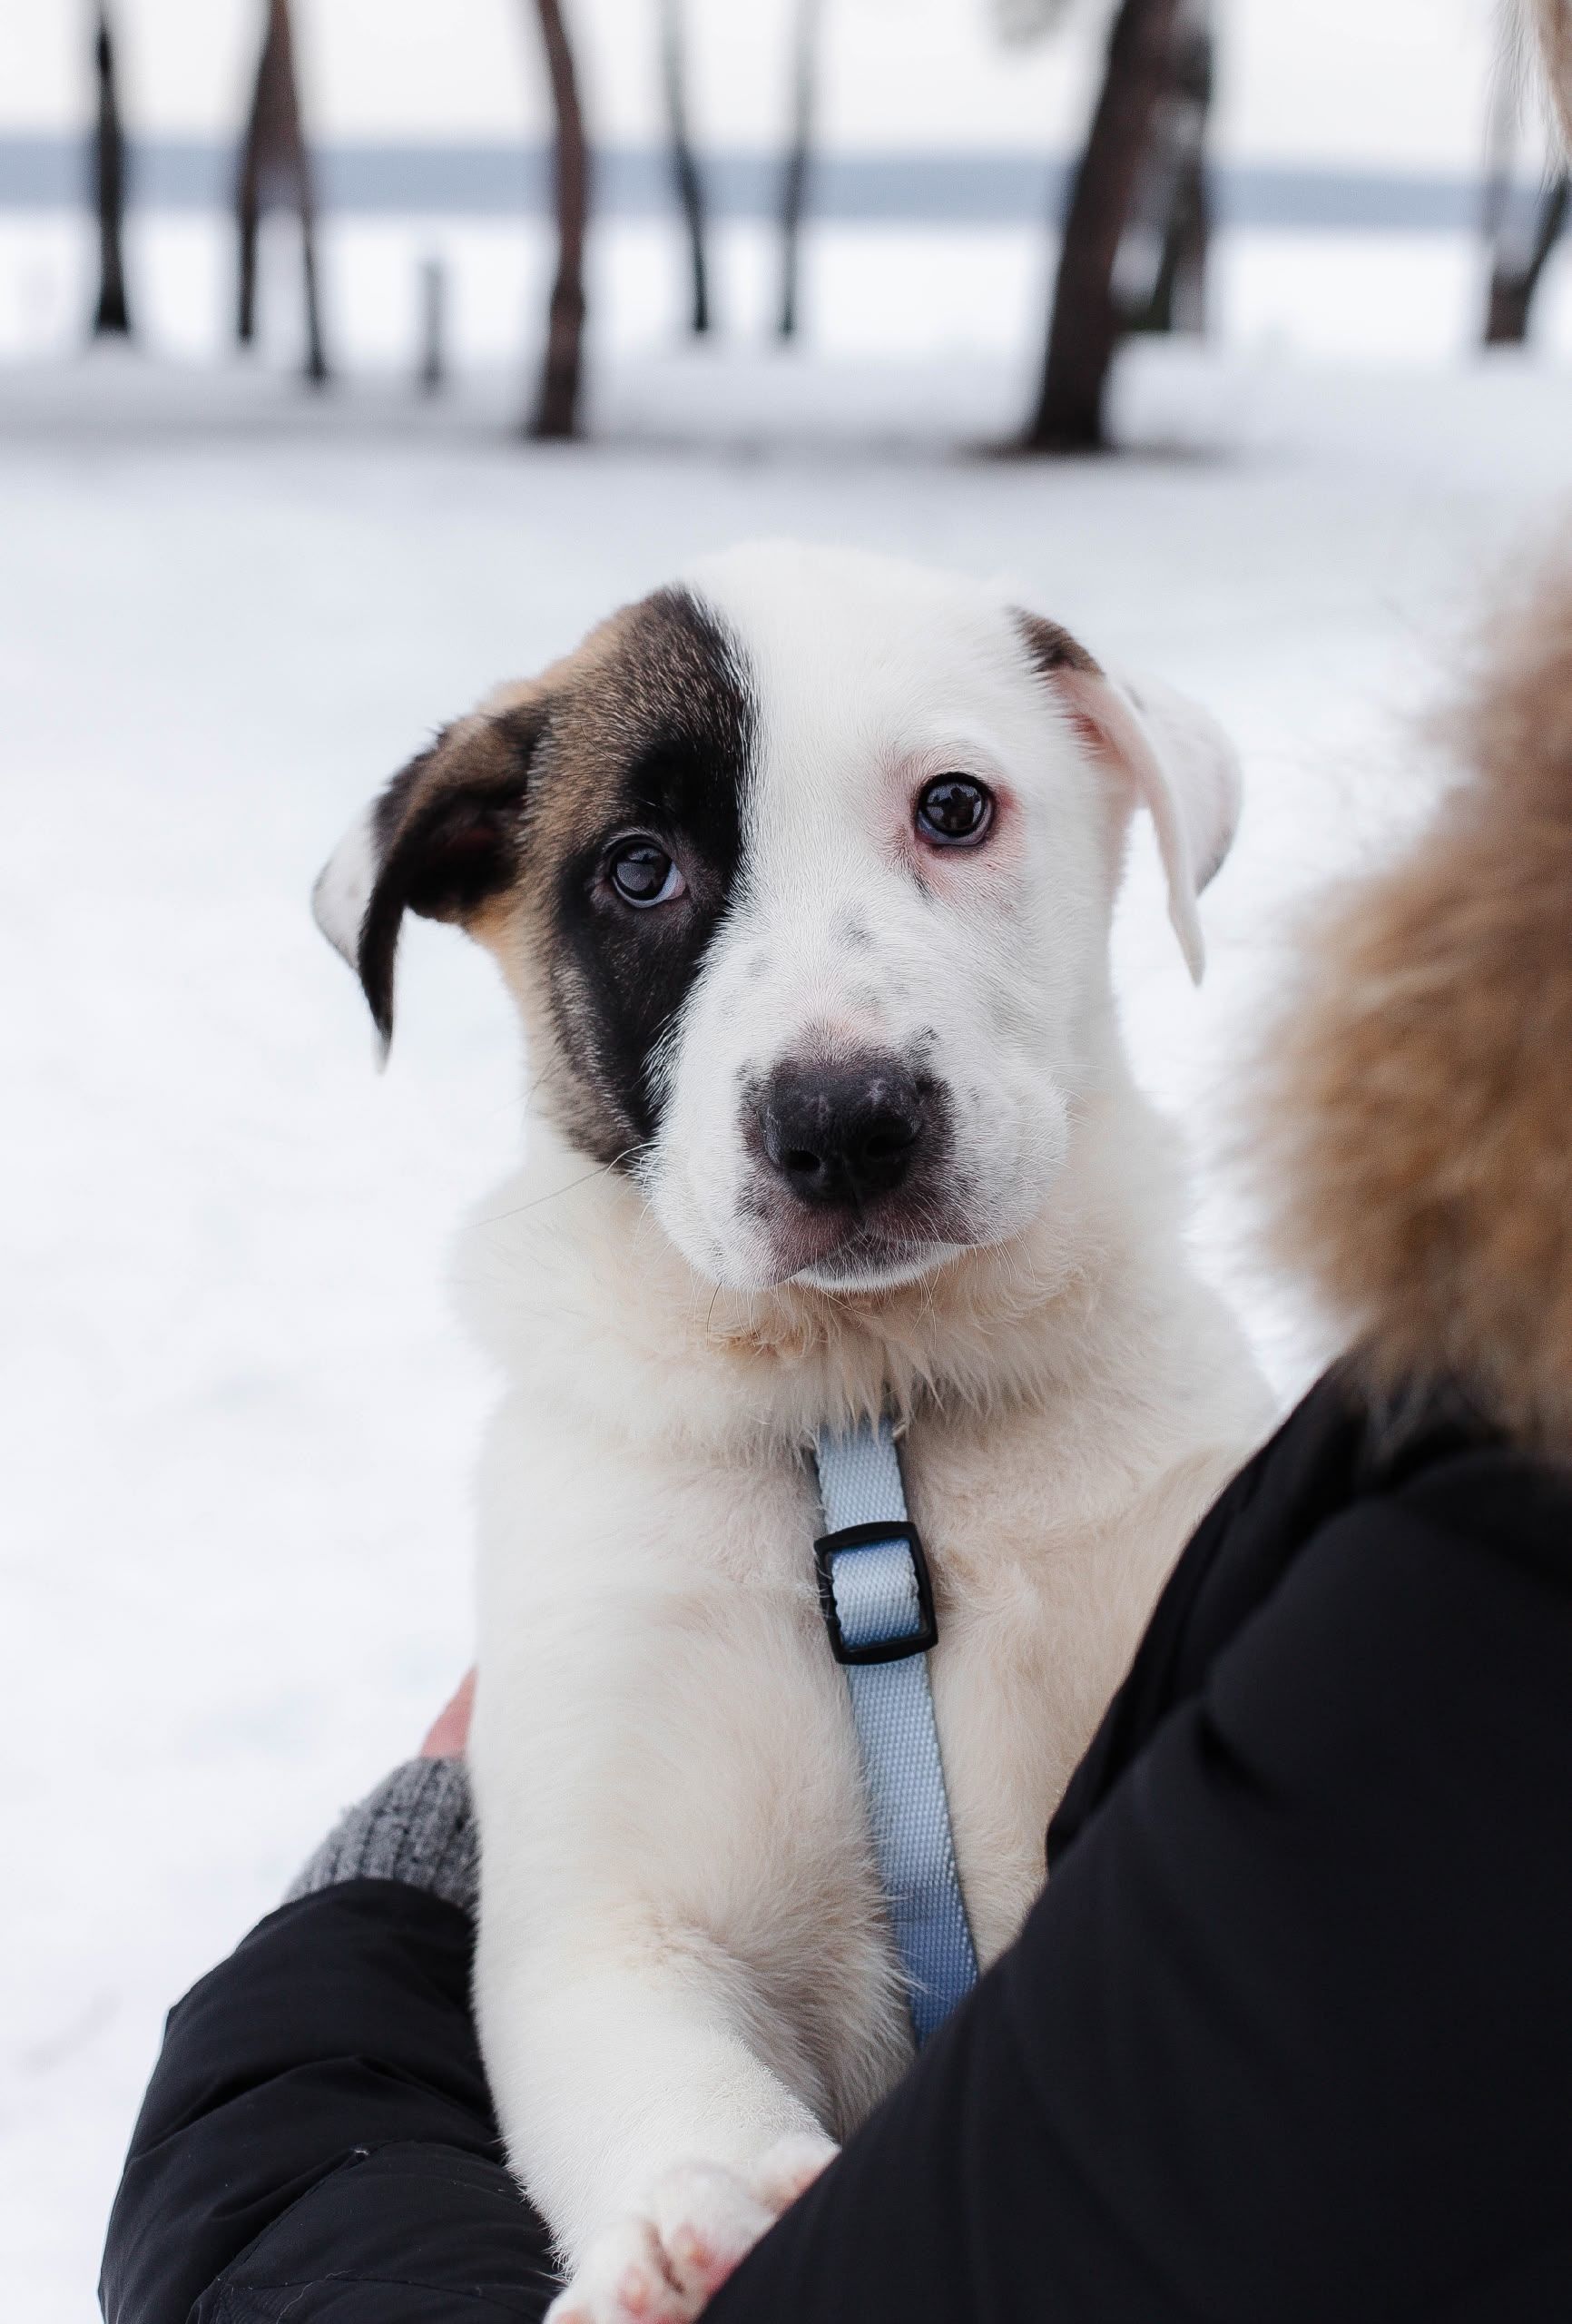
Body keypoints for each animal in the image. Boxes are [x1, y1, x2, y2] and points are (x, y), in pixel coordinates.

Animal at [314, 542, 1270, 2323]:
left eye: (955, 809)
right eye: (638, 871)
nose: (845, 1122)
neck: (866, 1414)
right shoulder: (604, 1919)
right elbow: (652, 2071)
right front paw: (693, 2225)